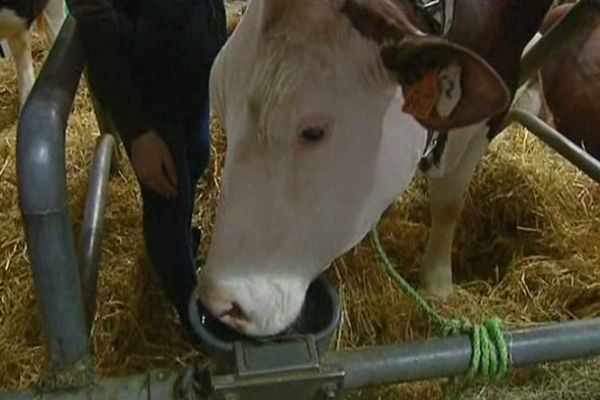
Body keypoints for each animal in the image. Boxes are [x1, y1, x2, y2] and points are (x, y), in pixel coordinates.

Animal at [199, 0, 556, 338]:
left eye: (313, 132)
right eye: (222, 105)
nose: (218, 303)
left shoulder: (496, 97)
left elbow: (449, 203)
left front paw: (437, 284)